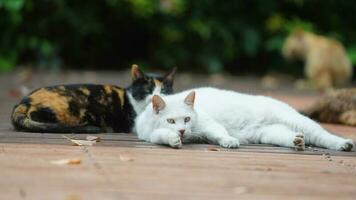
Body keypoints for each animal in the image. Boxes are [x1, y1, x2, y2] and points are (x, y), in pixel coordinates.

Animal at [135, 86, 354, 151]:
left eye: (187, 119)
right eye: (171, 121)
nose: (181, 130)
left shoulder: (208, 123)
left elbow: (219, 132)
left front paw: (229, 141)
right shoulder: (152, 135)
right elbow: (162, 136)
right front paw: (173, 139)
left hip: (298, 121)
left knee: (322, 135)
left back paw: (343, 144)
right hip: (270, 133)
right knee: (291, 137)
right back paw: (296, 141)